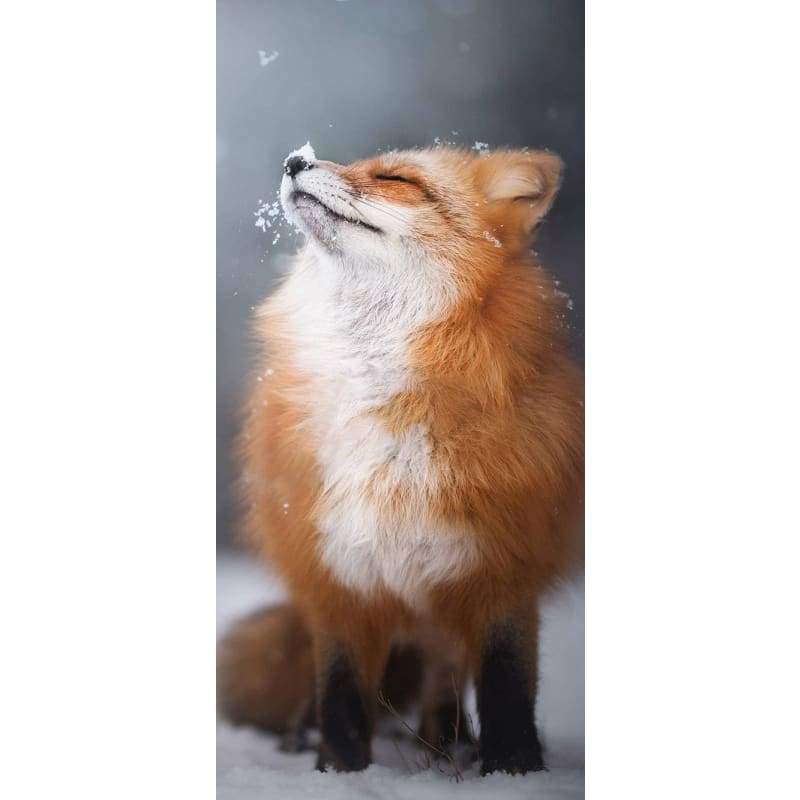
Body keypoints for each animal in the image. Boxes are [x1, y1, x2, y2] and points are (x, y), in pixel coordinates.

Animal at [219, 143, 584, 775]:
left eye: (395, 178)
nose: (295, 160)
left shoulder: (503, 569)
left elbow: (507, 688)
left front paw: (513, 769)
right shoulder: (337, 572)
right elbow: (340, 693)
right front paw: (339, 772)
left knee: (445, 675)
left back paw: (446, 748)